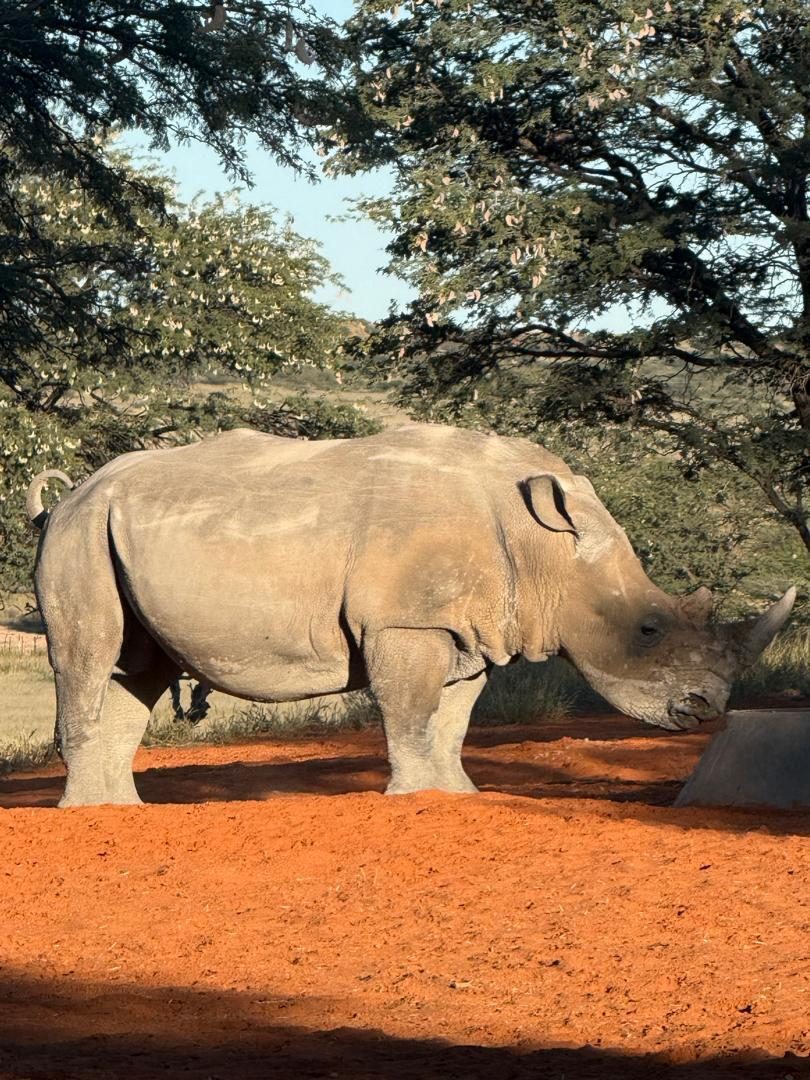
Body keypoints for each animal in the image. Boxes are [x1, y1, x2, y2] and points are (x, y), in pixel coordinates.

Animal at [27, 424, 795, 807]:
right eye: (648, 630)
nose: (705, 708)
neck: (546, 548)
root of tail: (66, 496)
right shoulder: (406, 620)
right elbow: (411, 710)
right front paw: (412, 798)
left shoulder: (468, 628)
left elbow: (450, 719)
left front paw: (457, 795)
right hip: (79, 532)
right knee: (89, 656)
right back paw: (88, 816)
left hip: (119, 530)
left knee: (139, 668)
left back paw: (119, 812)